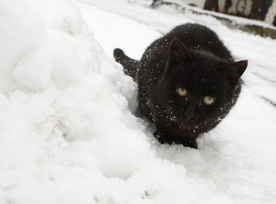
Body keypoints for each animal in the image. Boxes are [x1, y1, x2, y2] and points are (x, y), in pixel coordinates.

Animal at [113, 23, 247, 148]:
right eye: (182, 90)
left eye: (209, 99)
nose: (189, 113)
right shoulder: (155, 100)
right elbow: (162, 121)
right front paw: (164, 139)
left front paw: (189, 144)